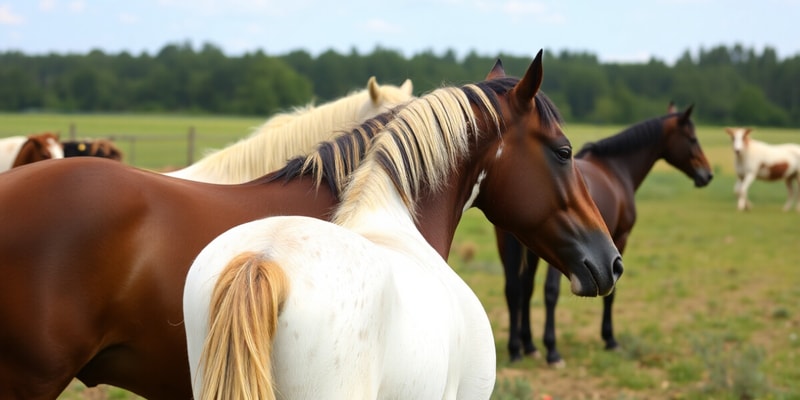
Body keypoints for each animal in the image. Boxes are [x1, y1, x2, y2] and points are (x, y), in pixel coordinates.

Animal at [494, 103, 712, 366]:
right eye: (692, 139)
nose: (707, 174)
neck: (616, 169)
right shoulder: (620, 239)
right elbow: (611, 292)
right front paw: (610, 339)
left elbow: (524, 288)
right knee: (548, 292)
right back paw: (551, 350)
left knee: (516, 288)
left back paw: (521, 348)